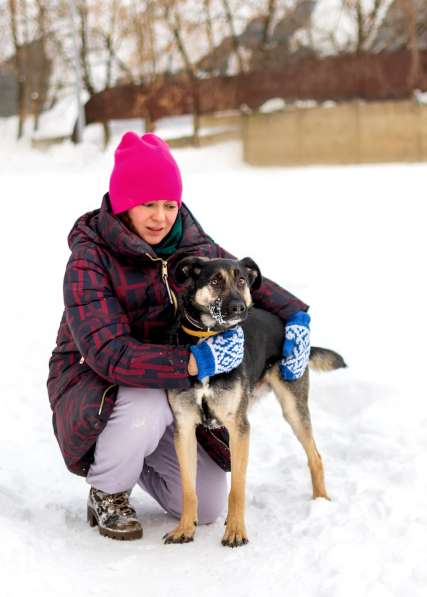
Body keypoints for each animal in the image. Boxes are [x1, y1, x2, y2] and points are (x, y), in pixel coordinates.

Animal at [162, 256, 346, 544]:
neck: (209, 339)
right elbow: (188, 489)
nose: (238, 306)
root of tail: (284, 324)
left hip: (293, 407)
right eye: (214, 281)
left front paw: (236, 531)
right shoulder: (184, 428)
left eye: (241, 280)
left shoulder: (239, 429)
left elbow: (237, 489)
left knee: (315, 456)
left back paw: (321, 501)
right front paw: (185, 528)